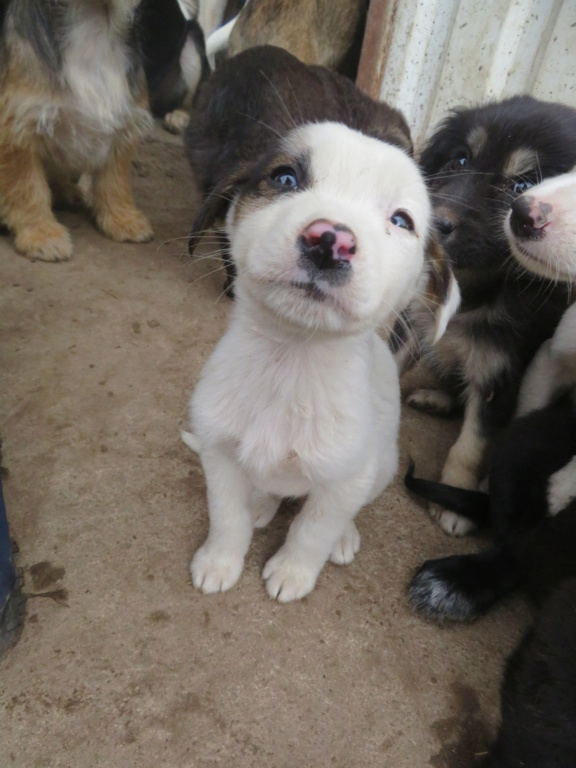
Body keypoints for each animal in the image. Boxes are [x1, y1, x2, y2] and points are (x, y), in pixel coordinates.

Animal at [0, 0, 153, 260]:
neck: (95, 19)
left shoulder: (124, 126)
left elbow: (114, 179)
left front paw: (121, 218)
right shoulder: (17, 128)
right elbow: (27, 186)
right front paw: (40, 233)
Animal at [184, 121, 460, 600]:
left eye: (401, 221)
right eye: (284, 178)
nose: (330, 241)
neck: (291, 361)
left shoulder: (348, 477)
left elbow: (313, 529)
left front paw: (293, 572)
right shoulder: (218, 452)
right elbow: (227, 518)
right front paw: (219, 561)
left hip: (382, 467)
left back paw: (342, 536)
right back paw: (262, 502)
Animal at [400, 96, 576, 536]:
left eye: (522, 186)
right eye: (461, 158)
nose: (430, 225)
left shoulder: (501, 368)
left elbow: (473, 441)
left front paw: (456, 503)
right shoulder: (414, 322)